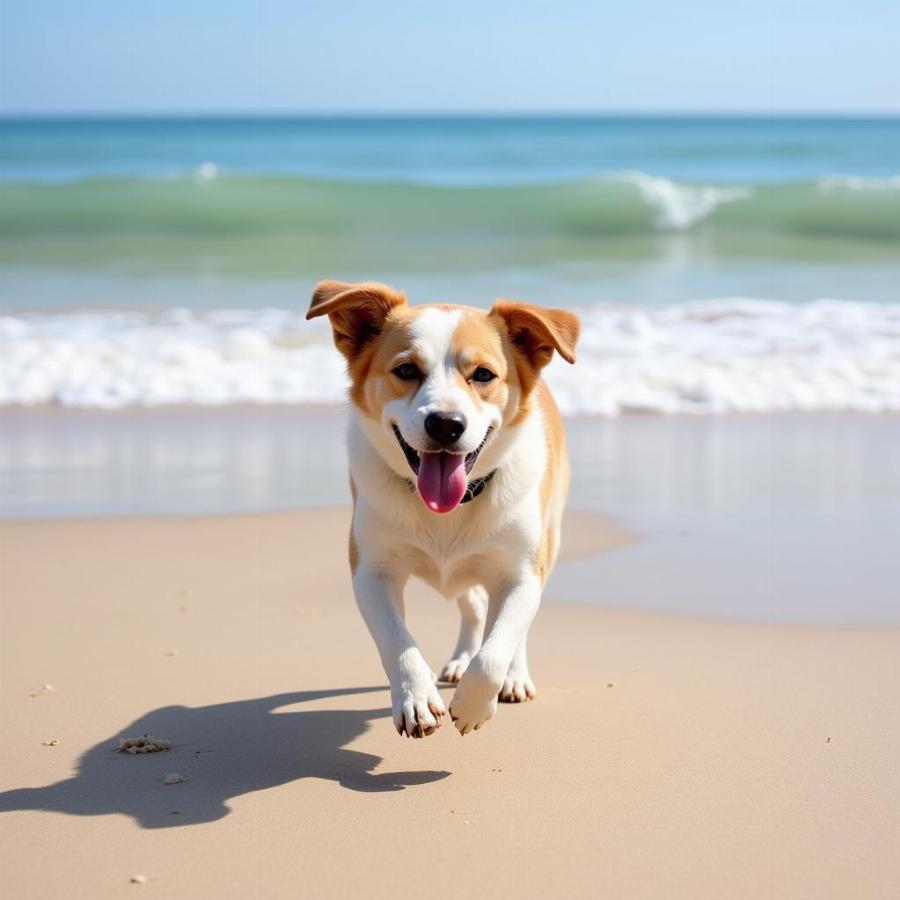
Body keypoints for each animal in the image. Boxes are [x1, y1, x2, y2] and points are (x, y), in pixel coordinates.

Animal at [306, 282, 580, 740]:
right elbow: (397, 641)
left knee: (509, 626)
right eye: (407, 370)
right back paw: (458, 661)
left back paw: (513, 677)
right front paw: (416, 698)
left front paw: (473, 703)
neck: (450, 506)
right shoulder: (371, 571)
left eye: (483, 375)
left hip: (549, 540)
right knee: (473, 605)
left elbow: (496, 650)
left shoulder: (521, 574)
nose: (446, 424)